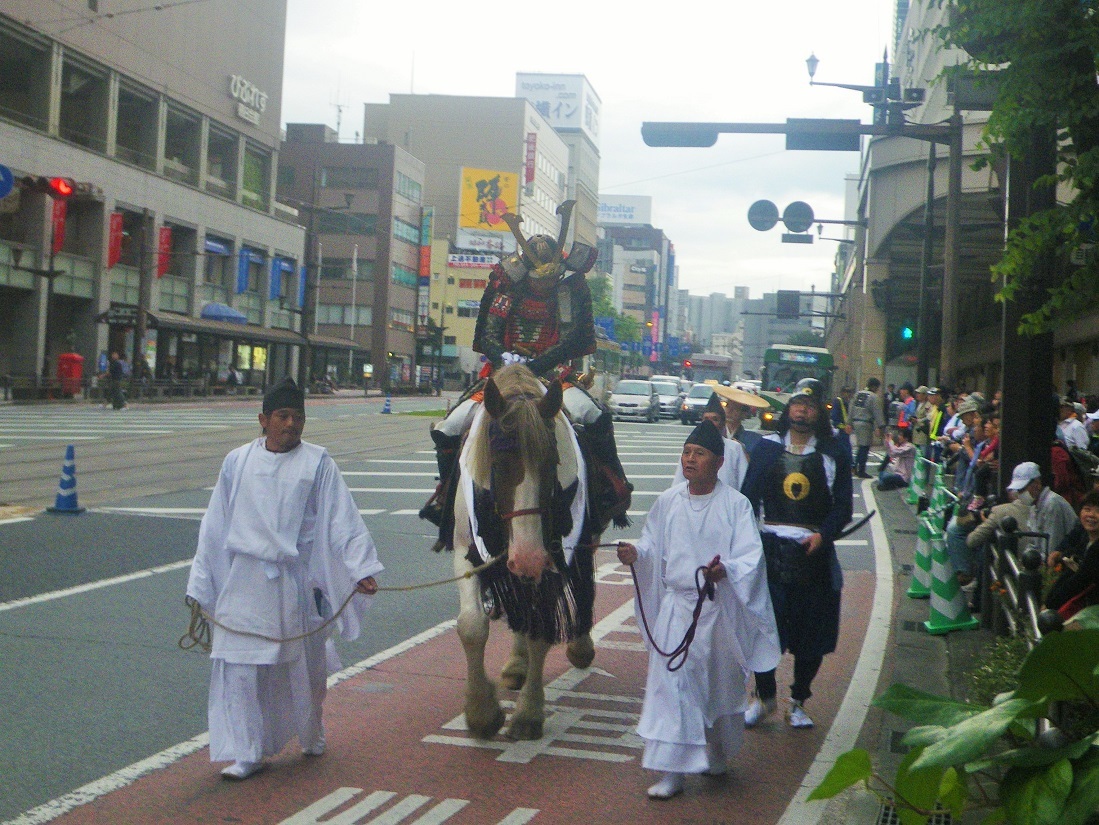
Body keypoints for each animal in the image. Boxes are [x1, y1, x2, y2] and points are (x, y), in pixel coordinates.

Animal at [450, 366, 597, 742]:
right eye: (499, 464)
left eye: (551, 463)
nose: (528, 557)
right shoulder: (465, 550)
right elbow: (471, 626)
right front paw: (482, 713)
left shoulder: (552, 562)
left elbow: (540, 629)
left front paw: (528, 714)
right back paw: (516, 666)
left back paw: (579, 647)